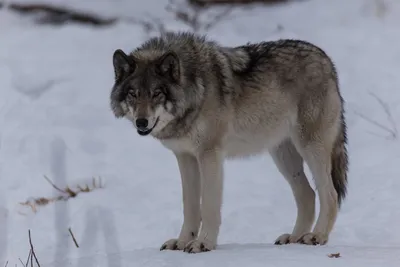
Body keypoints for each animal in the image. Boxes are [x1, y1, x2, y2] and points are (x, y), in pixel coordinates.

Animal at [108, 31, 346, 253]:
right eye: (133, 94)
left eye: (157, 93)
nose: (141, 122)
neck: (195, 88)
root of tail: (326, 60)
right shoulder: (185, 157)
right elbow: (190, 205)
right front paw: (182, 242)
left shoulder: (209, 155)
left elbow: (209, 205)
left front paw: (203, 243)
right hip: (283, 156)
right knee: (308, 194)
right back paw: (295, 237)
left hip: (310, 148)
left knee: (330, 194)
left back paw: (317, 236)